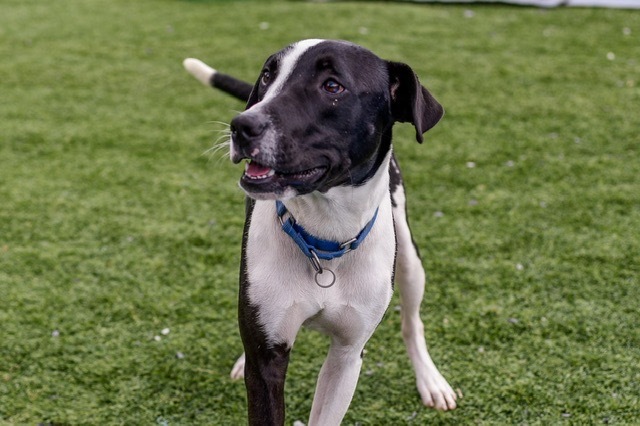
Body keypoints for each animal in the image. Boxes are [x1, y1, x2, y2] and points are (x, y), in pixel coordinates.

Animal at [182, 39, 458, 422]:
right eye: (267, 75)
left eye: (332, 86)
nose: (241, 125)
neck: (325, 238)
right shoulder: (267, 356)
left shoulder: (347, 355)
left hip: (409, 259)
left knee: (412, 323)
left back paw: (431, 380)